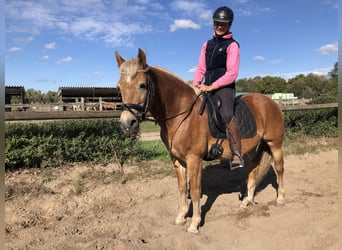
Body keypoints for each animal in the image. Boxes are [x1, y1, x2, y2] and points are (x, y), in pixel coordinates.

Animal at [115, 48, 286, 234]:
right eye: (119, 87)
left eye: (142, 85)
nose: (127, 124)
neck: (182, 114)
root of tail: (271, 102)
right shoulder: (177, 159)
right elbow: (183, 188)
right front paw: (181, 217)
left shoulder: (194, 159)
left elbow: (196, 191)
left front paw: (194, 223)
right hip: (247, 150)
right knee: (253, 169)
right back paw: (247, 201)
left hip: (275, 144)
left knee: (279, 168)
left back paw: (281, 199)